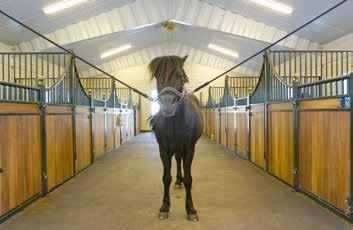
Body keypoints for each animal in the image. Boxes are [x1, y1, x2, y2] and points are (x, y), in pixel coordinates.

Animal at [148, 55, 204, 221]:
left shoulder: (189, 150)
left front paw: (191, 209)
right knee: (178, 161)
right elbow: (166, 177)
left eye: (180, 75)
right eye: (157, 76)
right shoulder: (164, 150)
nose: (167, 104)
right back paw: (178, 181)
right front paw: (164, 207)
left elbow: (188, 178)